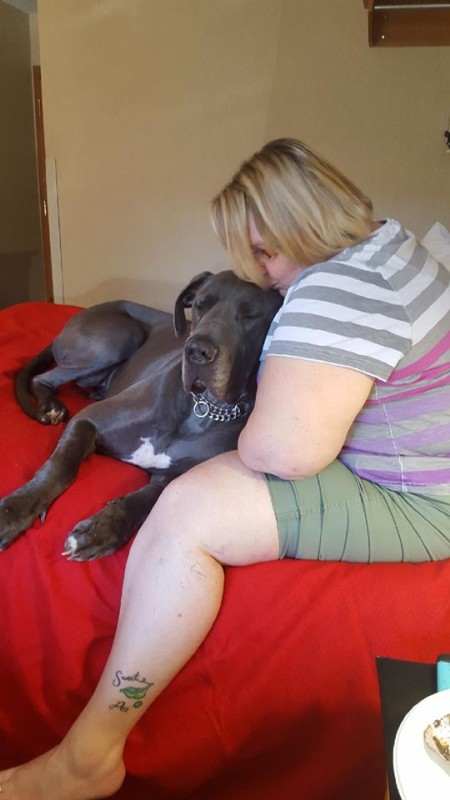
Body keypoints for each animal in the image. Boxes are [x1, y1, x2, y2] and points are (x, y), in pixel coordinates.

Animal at [0, 271, 282, 560]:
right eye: (200, 305)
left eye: (250, 316)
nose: (197, 351)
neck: (204, 408)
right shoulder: (87, 419)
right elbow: (60, 466)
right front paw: (14, 511)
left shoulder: (175, 478)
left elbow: (147, 499)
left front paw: (104, 529)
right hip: (120, 338)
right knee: (42, 378)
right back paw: (50, 406)